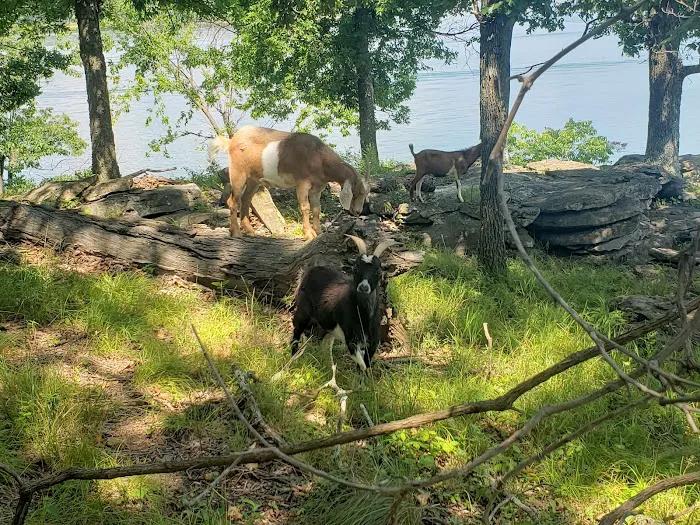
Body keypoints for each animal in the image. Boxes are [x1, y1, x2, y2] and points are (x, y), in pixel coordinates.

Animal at [208, 126, 370, 241]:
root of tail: (231, 141)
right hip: (238, 173)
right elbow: (305, 207)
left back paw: (250, 230)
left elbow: (317, 208)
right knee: (233, 201)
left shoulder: (317, 188)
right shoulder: (302, 184)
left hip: (254, 179)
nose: (358, 212)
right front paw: (308, 234)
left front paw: (318, 231)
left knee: (245, 199)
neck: (317, 156)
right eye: (356, 193)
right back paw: (236, 232)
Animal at [290, 236, 399, 372]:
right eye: (355, 269)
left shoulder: (372, 343)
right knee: (296, 331)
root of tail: (308, 271)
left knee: (325, 344)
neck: (363, 316)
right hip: (303, 311)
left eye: (378, 272)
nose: (363, 287)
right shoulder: (351, 341)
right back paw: (293, 358)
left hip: (329, 325)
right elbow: (362, 365)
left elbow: (365, 366)